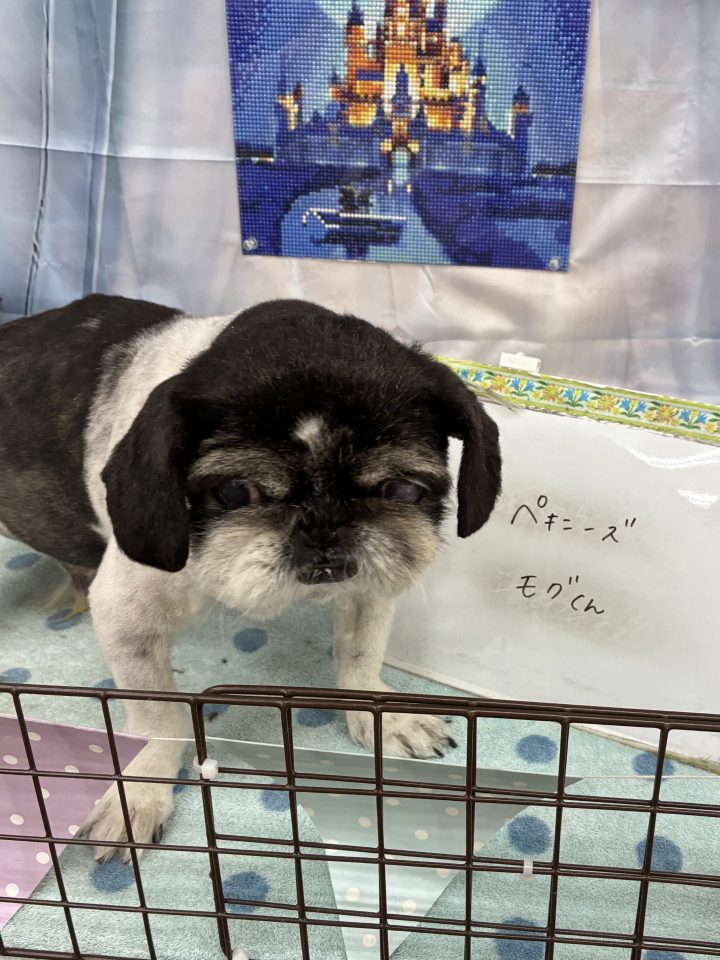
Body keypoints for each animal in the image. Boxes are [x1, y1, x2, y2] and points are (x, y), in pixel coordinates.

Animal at [0, 294, 501, 858]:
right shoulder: (129, 617)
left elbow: (359, 658)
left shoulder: (369, 589)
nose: (324, 523)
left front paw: (383, 715)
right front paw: (143, 790)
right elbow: (157, 718)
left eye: (403, 490)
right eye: (238, 493)